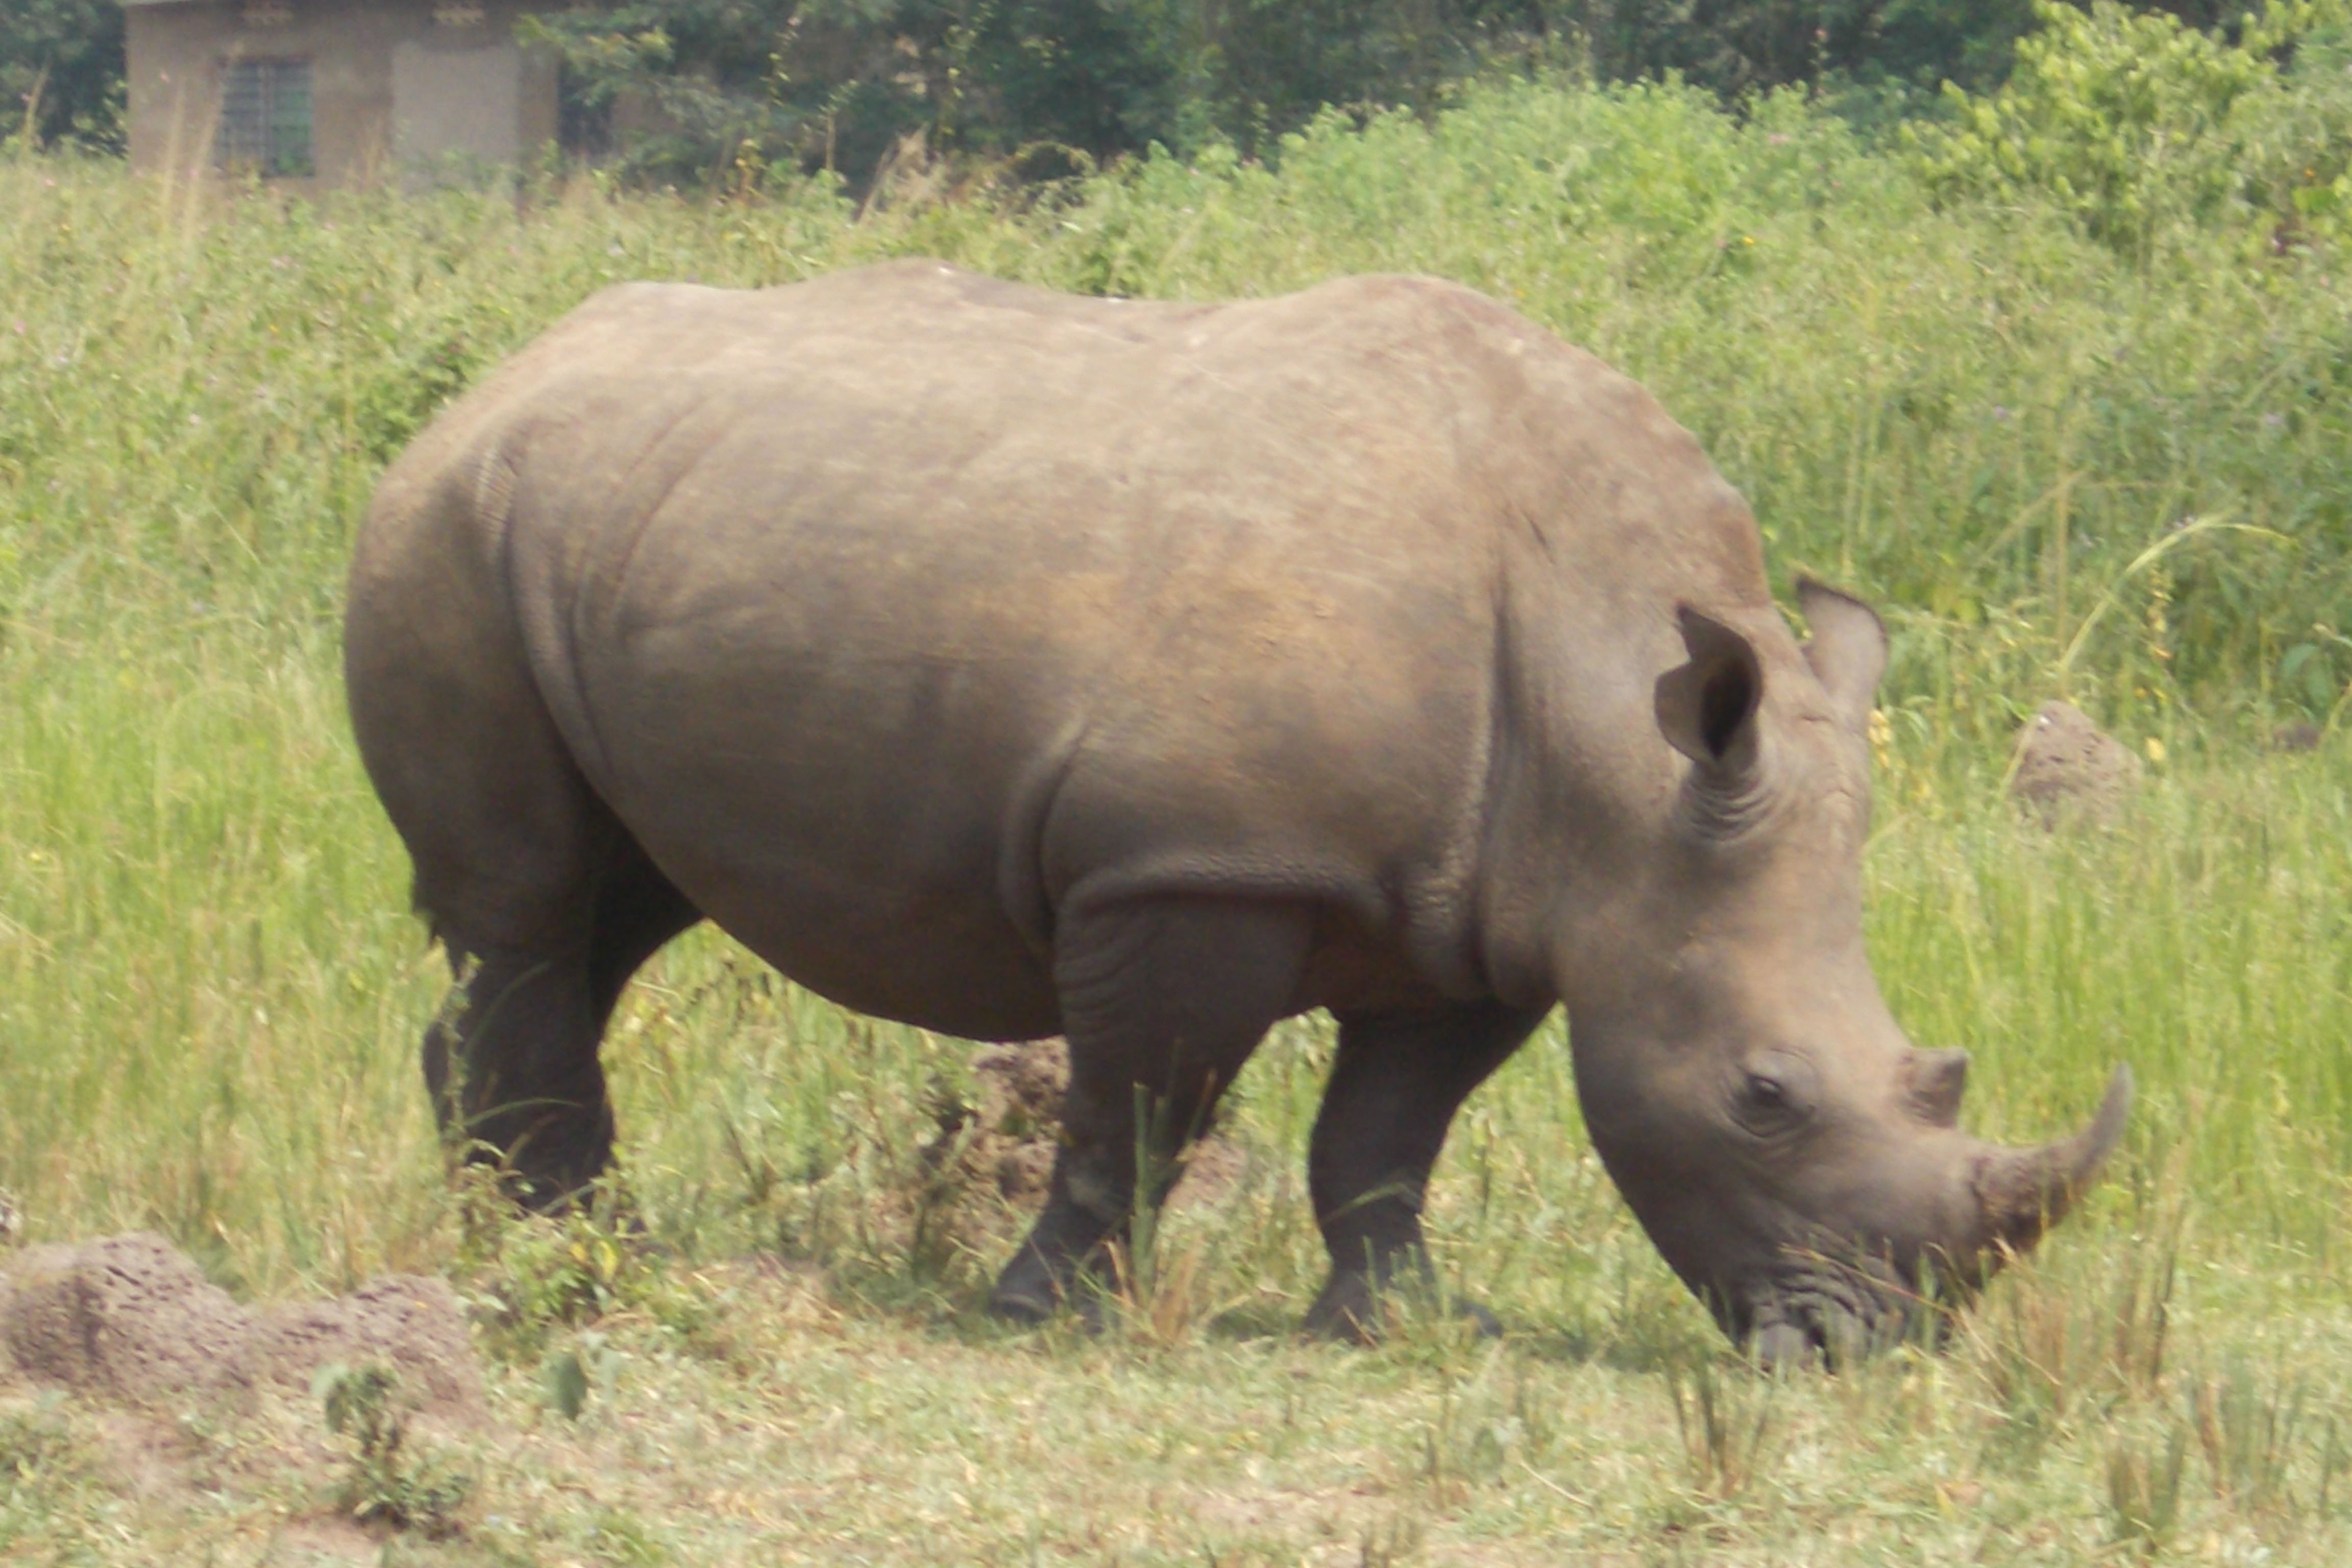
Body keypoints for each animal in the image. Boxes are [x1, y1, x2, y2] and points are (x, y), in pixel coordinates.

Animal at [345, 260, 2129, 1362]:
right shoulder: (1192, 867)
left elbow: (1388, 1132)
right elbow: (1144, 1102)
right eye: (1764, 1096)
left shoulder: (1490, 908)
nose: (1870, 1346)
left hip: (619, 525)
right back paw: (579, 1251)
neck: (1617, 737)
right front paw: (1047, 1315)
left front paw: (1409, 1324)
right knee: (530, 905)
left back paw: (537, 1230)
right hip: (452, 528)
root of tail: (493, 378)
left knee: (618, 903)